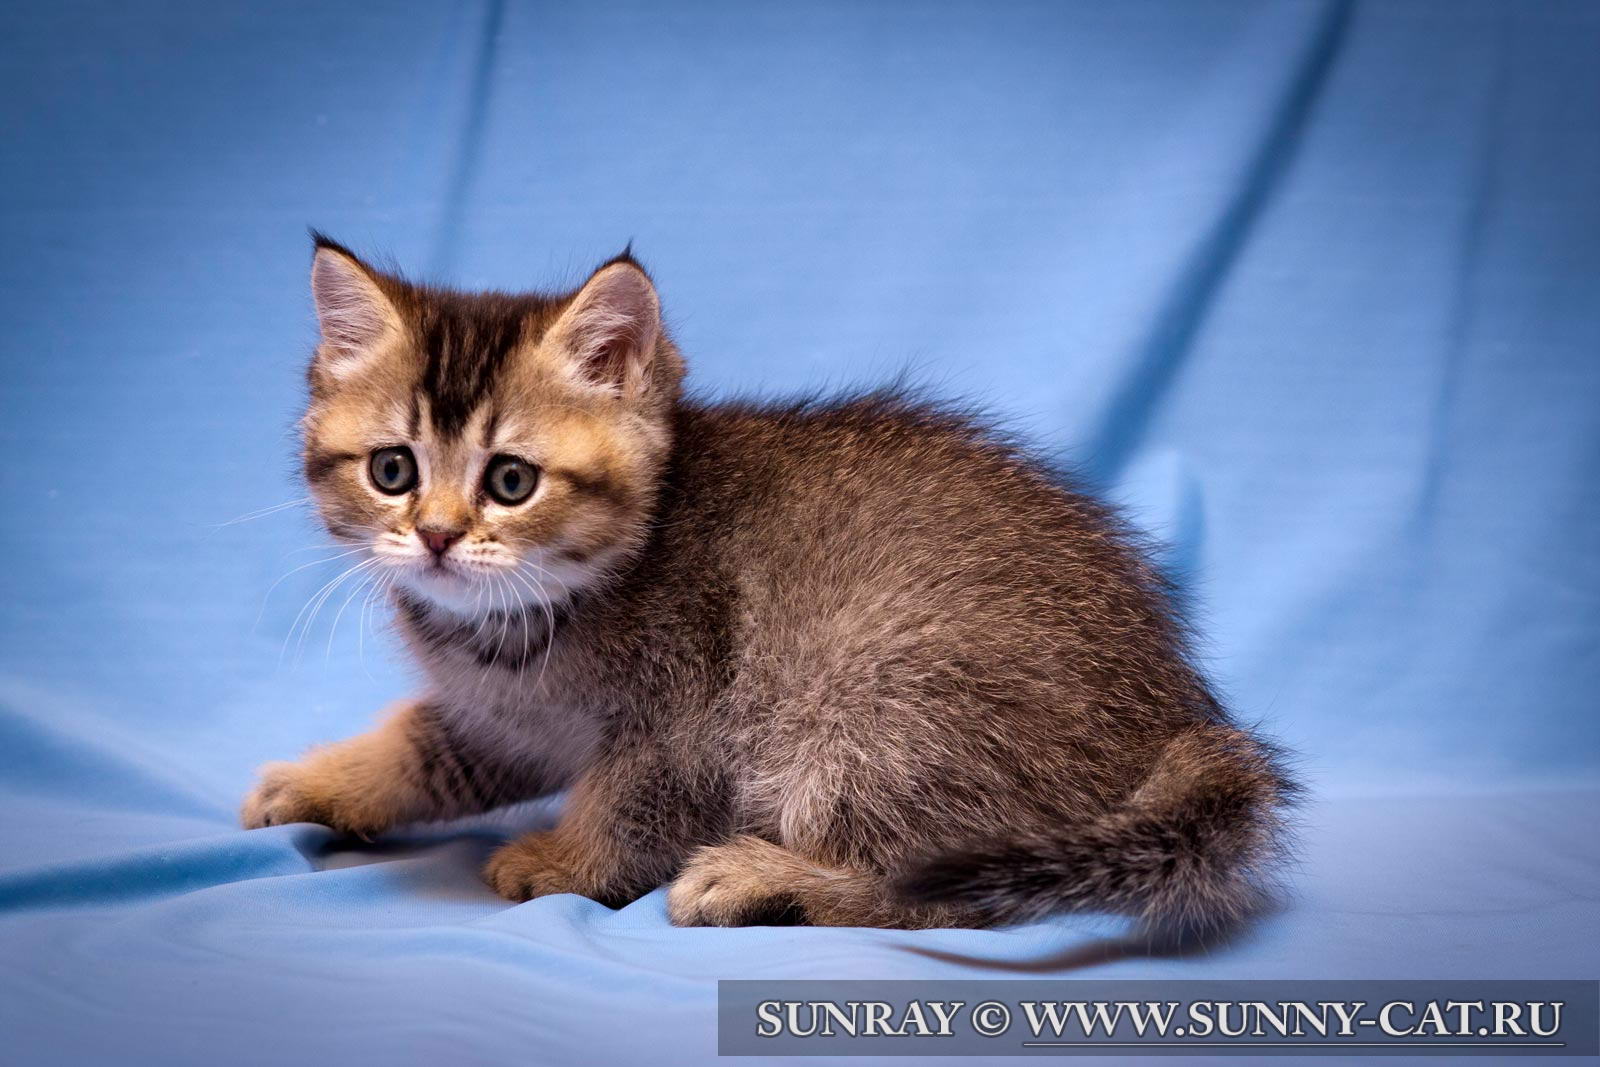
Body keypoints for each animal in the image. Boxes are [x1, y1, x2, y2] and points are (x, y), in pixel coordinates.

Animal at [241, 234, 1298, 935]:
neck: (523, 625)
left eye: (510, 481)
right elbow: (429, 746)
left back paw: (763, 879)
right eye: (393, 470)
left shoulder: (689, 714)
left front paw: (564, 860)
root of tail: (1178, 723)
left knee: (939, 891)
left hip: (870, 706)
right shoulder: (502, 717)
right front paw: (325, 777)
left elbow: (631, 800)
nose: (435, 535)